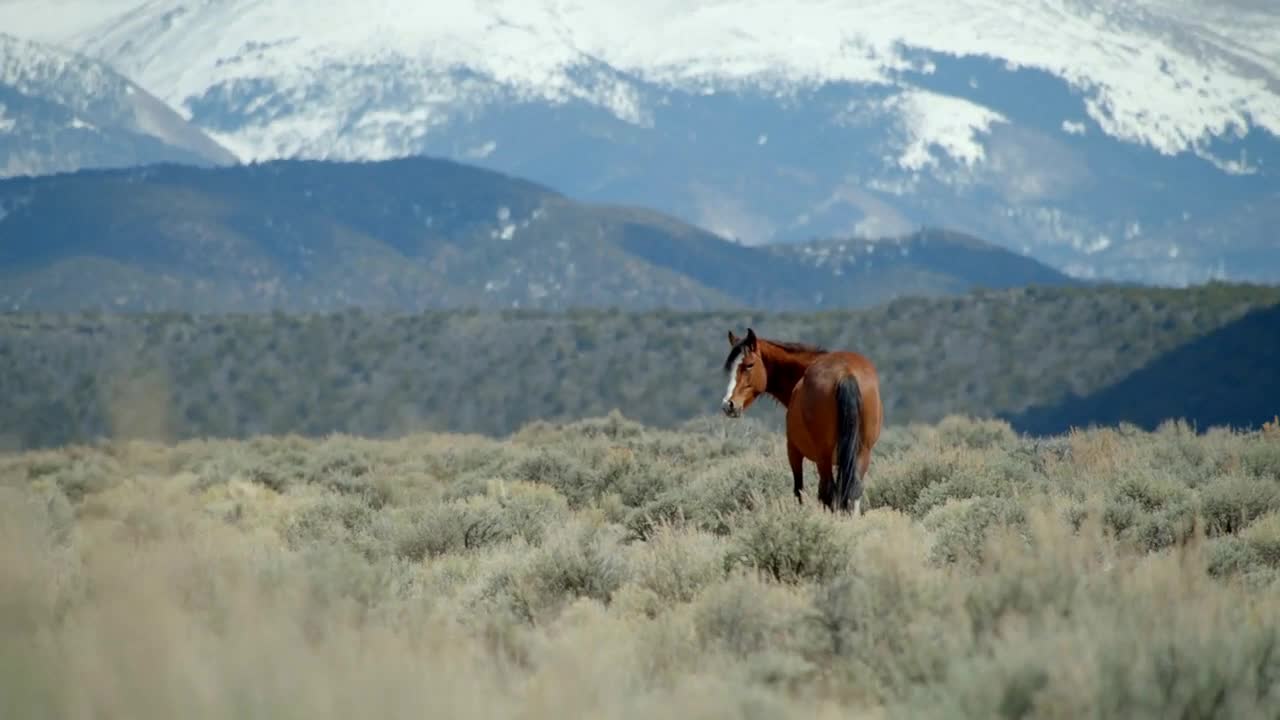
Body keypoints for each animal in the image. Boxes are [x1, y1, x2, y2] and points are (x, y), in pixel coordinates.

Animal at [721, 327, 880, 512]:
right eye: (729, 368)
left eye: (749, 365)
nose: (728, 404)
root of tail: (845, 373)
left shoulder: (793, 451)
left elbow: (799, 491)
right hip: (862, 454)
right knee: (852, 492)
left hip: (823, 458)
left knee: (829, 492)